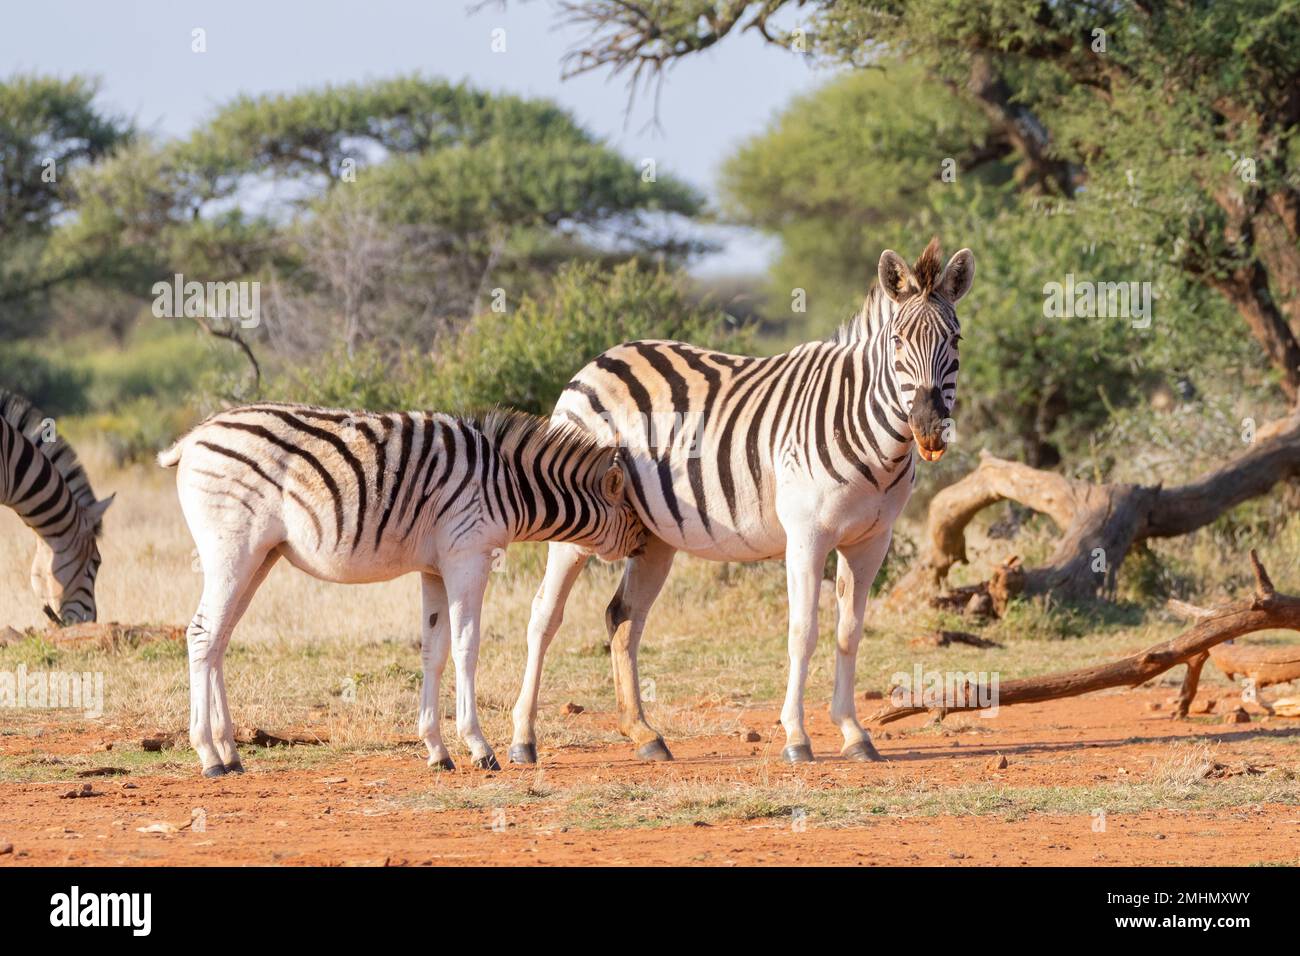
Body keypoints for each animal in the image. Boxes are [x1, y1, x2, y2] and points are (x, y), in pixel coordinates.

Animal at [158, 402, 644, 778]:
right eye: (632, 512)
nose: (645, 546)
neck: (509, 486)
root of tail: (194, 437)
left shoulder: (435, 568)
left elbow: (434, 650)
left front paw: (437, 751)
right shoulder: (468, 556)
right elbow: (467, 646)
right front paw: (479, 747)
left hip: (260, 556)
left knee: (218, 639)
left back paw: (230, 753)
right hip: (231, 551)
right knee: (201, 634)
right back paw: (208, 756)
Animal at [508, 238, 974, 765]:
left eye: (956, 342)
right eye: (897, 341)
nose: (929, 429)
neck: (873, 438)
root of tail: (601, 357)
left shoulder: (872, 541)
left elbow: (849, 632)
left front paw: (854, 733)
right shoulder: (807, 536)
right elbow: (803, 632)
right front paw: (797, 737)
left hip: (653, 534)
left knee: (623, 616)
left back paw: (644, 733)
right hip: (574, 519)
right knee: (544, 615)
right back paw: (523, 739)